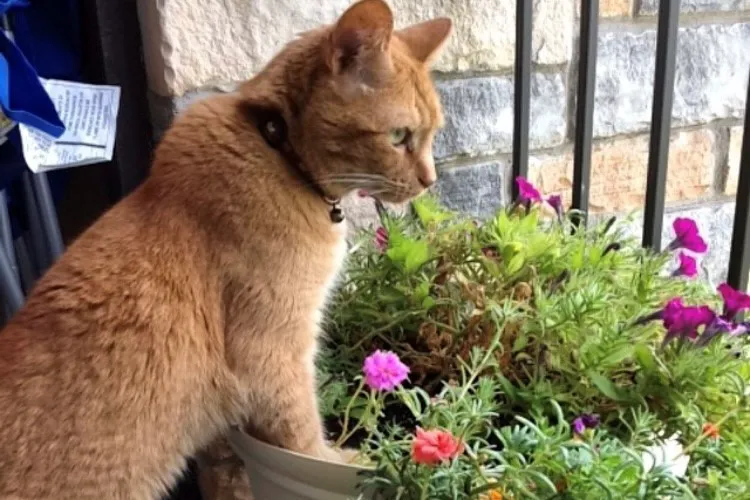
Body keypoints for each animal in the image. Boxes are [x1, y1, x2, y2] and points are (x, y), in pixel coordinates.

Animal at [0, 1, 452, 498]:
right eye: (399, 137)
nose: (430, 179)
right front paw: (337, 461)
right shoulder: (274, 351)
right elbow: (301, 431)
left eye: (433, 134)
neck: (277, 148)